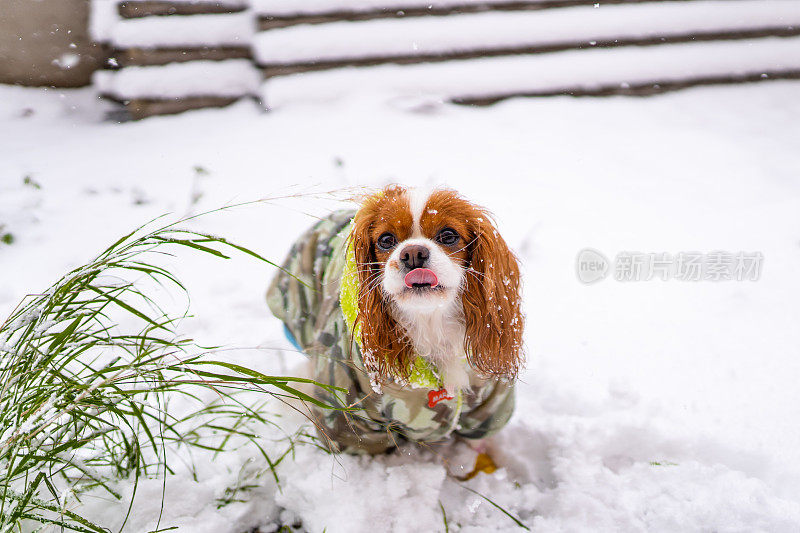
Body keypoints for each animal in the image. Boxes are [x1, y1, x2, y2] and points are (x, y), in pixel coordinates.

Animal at [268, 186, 524, 454]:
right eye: (386, 239)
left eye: (448, 235)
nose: (413, 253)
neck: (429, 321)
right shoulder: (350, 420)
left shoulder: (488, 411)